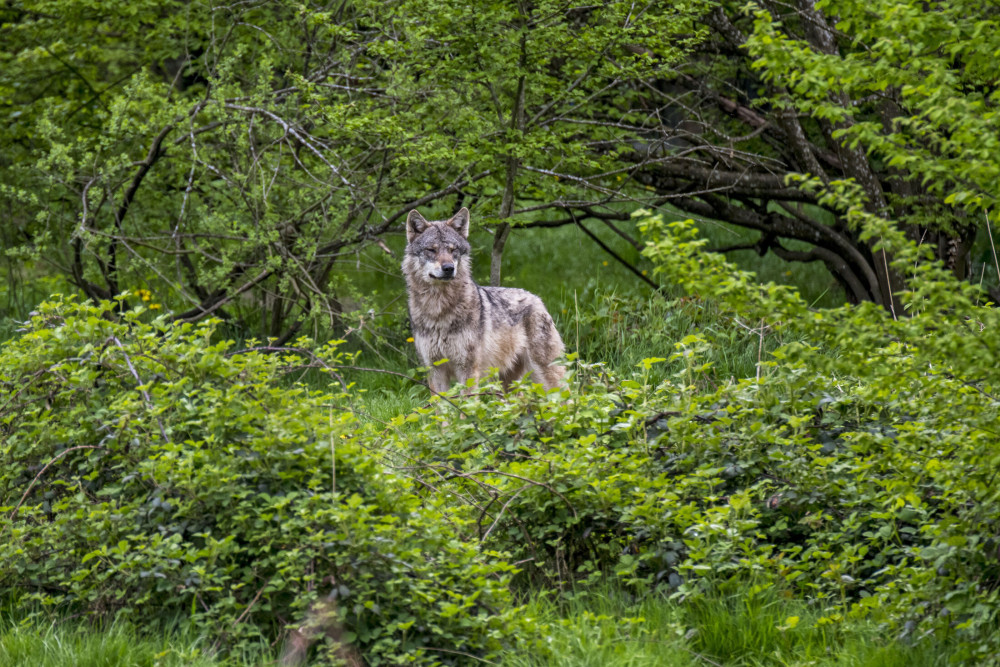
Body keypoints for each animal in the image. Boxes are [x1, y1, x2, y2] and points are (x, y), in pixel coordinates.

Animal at [402, 207, 565, 394]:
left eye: (453, 250)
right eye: (431, 250)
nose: (449, 268)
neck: (438, 309)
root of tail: (537, 299)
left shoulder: (468, 369)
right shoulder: (435, 370)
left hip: (545, 377)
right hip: (507, 386)